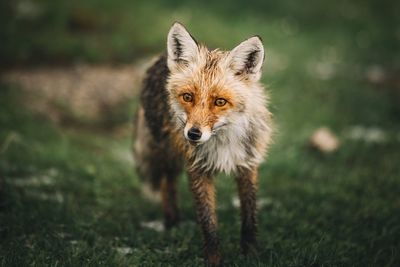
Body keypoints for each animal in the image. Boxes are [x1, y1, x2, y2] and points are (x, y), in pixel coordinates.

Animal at [133, 22, 274, 266]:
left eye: (220, 102)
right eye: (188, 97)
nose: (193, 134)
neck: (223, 141)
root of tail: (160, 58)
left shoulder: (247, 165)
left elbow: (249, 216)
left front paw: (250, 254)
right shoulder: (197, 169)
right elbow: (208, 222)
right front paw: (213, 259)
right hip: (167, 153)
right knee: (167, 183)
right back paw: (172, 223)